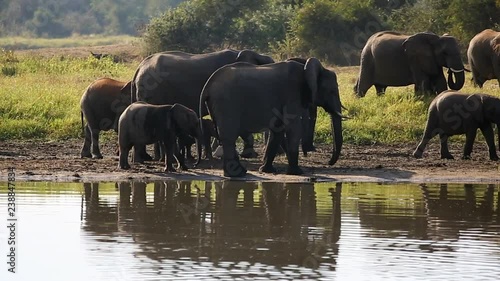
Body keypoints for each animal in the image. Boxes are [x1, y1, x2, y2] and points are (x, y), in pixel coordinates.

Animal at [199, 57, 344, 176]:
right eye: (332, 91)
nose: (329, 163)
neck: (306, 69)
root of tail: (207, 86)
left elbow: (278, 130)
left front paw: (266, 170)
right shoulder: (292, 95)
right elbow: (293, 128)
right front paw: (297, 173)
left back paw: (239, 172)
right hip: (227, 103)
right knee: (229, 136)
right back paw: (236, 174)